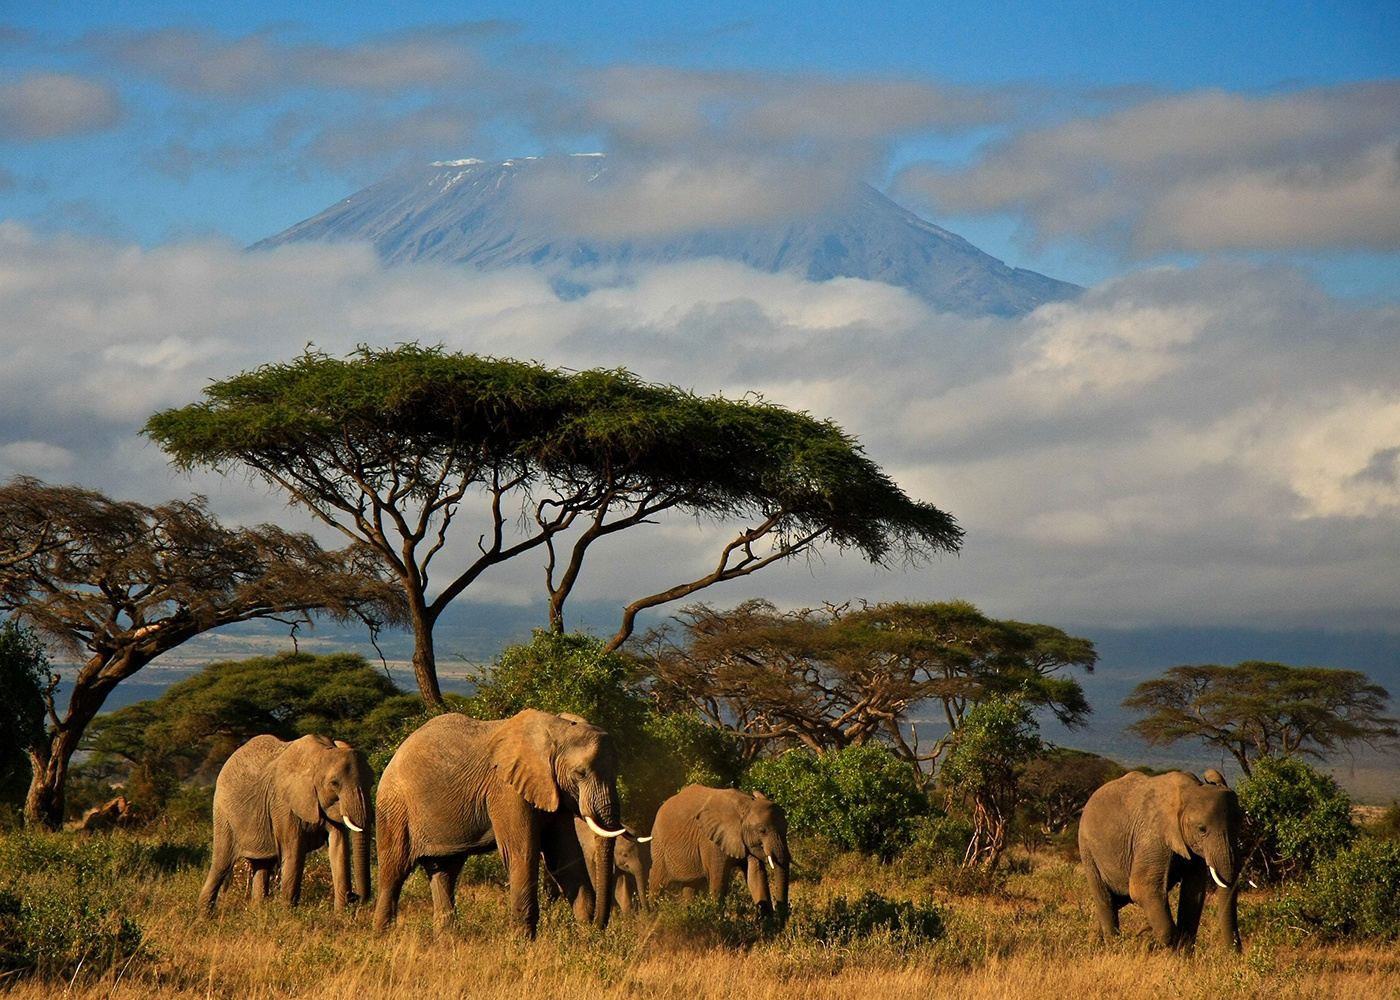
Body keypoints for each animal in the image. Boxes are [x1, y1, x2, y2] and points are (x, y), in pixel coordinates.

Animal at [198, 722, 372, 913]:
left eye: (371, 782)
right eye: (334, 783)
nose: (354, 896)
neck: (320, 754)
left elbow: (339, 846)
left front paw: (340, 915)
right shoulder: (282, 804)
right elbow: (294, 850)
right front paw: (288, 914)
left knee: (262, 865)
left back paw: (258, 913)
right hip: (223, 815)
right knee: (221, 864)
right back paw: (203, 916)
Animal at [372, 705, 624, 929]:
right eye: (580, 774)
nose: (599, 926)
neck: (556, 729)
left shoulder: (555, 791)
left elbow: (563, 858)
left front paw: (586, 936)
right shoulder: (506, 790)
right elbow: (521, 853)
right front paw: (522, 943)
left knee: (444, 872)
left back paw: (447, 943)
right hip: (394, 808)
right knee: (394, 870)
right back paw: (382, 936)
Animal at [649, 778, 795, 918]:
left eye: (786, 827)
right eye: (762, 830)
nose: (783, 913)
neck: (746, 805)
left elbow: (755, 876)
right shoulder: (710, 841)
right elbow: (718, 883)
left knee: (690, 887)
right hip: (659, 847)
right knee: (656, 884)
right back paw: (650, 919)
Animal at [1075, 761, 1243, 952]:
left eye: (1240, 825)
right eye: (1202, 829)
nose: (1234, 952)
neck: (1191, 790)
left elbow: (1193, 894)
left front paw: (1181, 954)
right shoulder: (1153, 836)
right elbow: (1141, 887)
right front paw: (1153, 940)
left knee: (1117, 900)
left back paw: (1092, 943)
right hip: (1087, 849)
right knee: (1106, 900)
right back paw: (1113, 948)